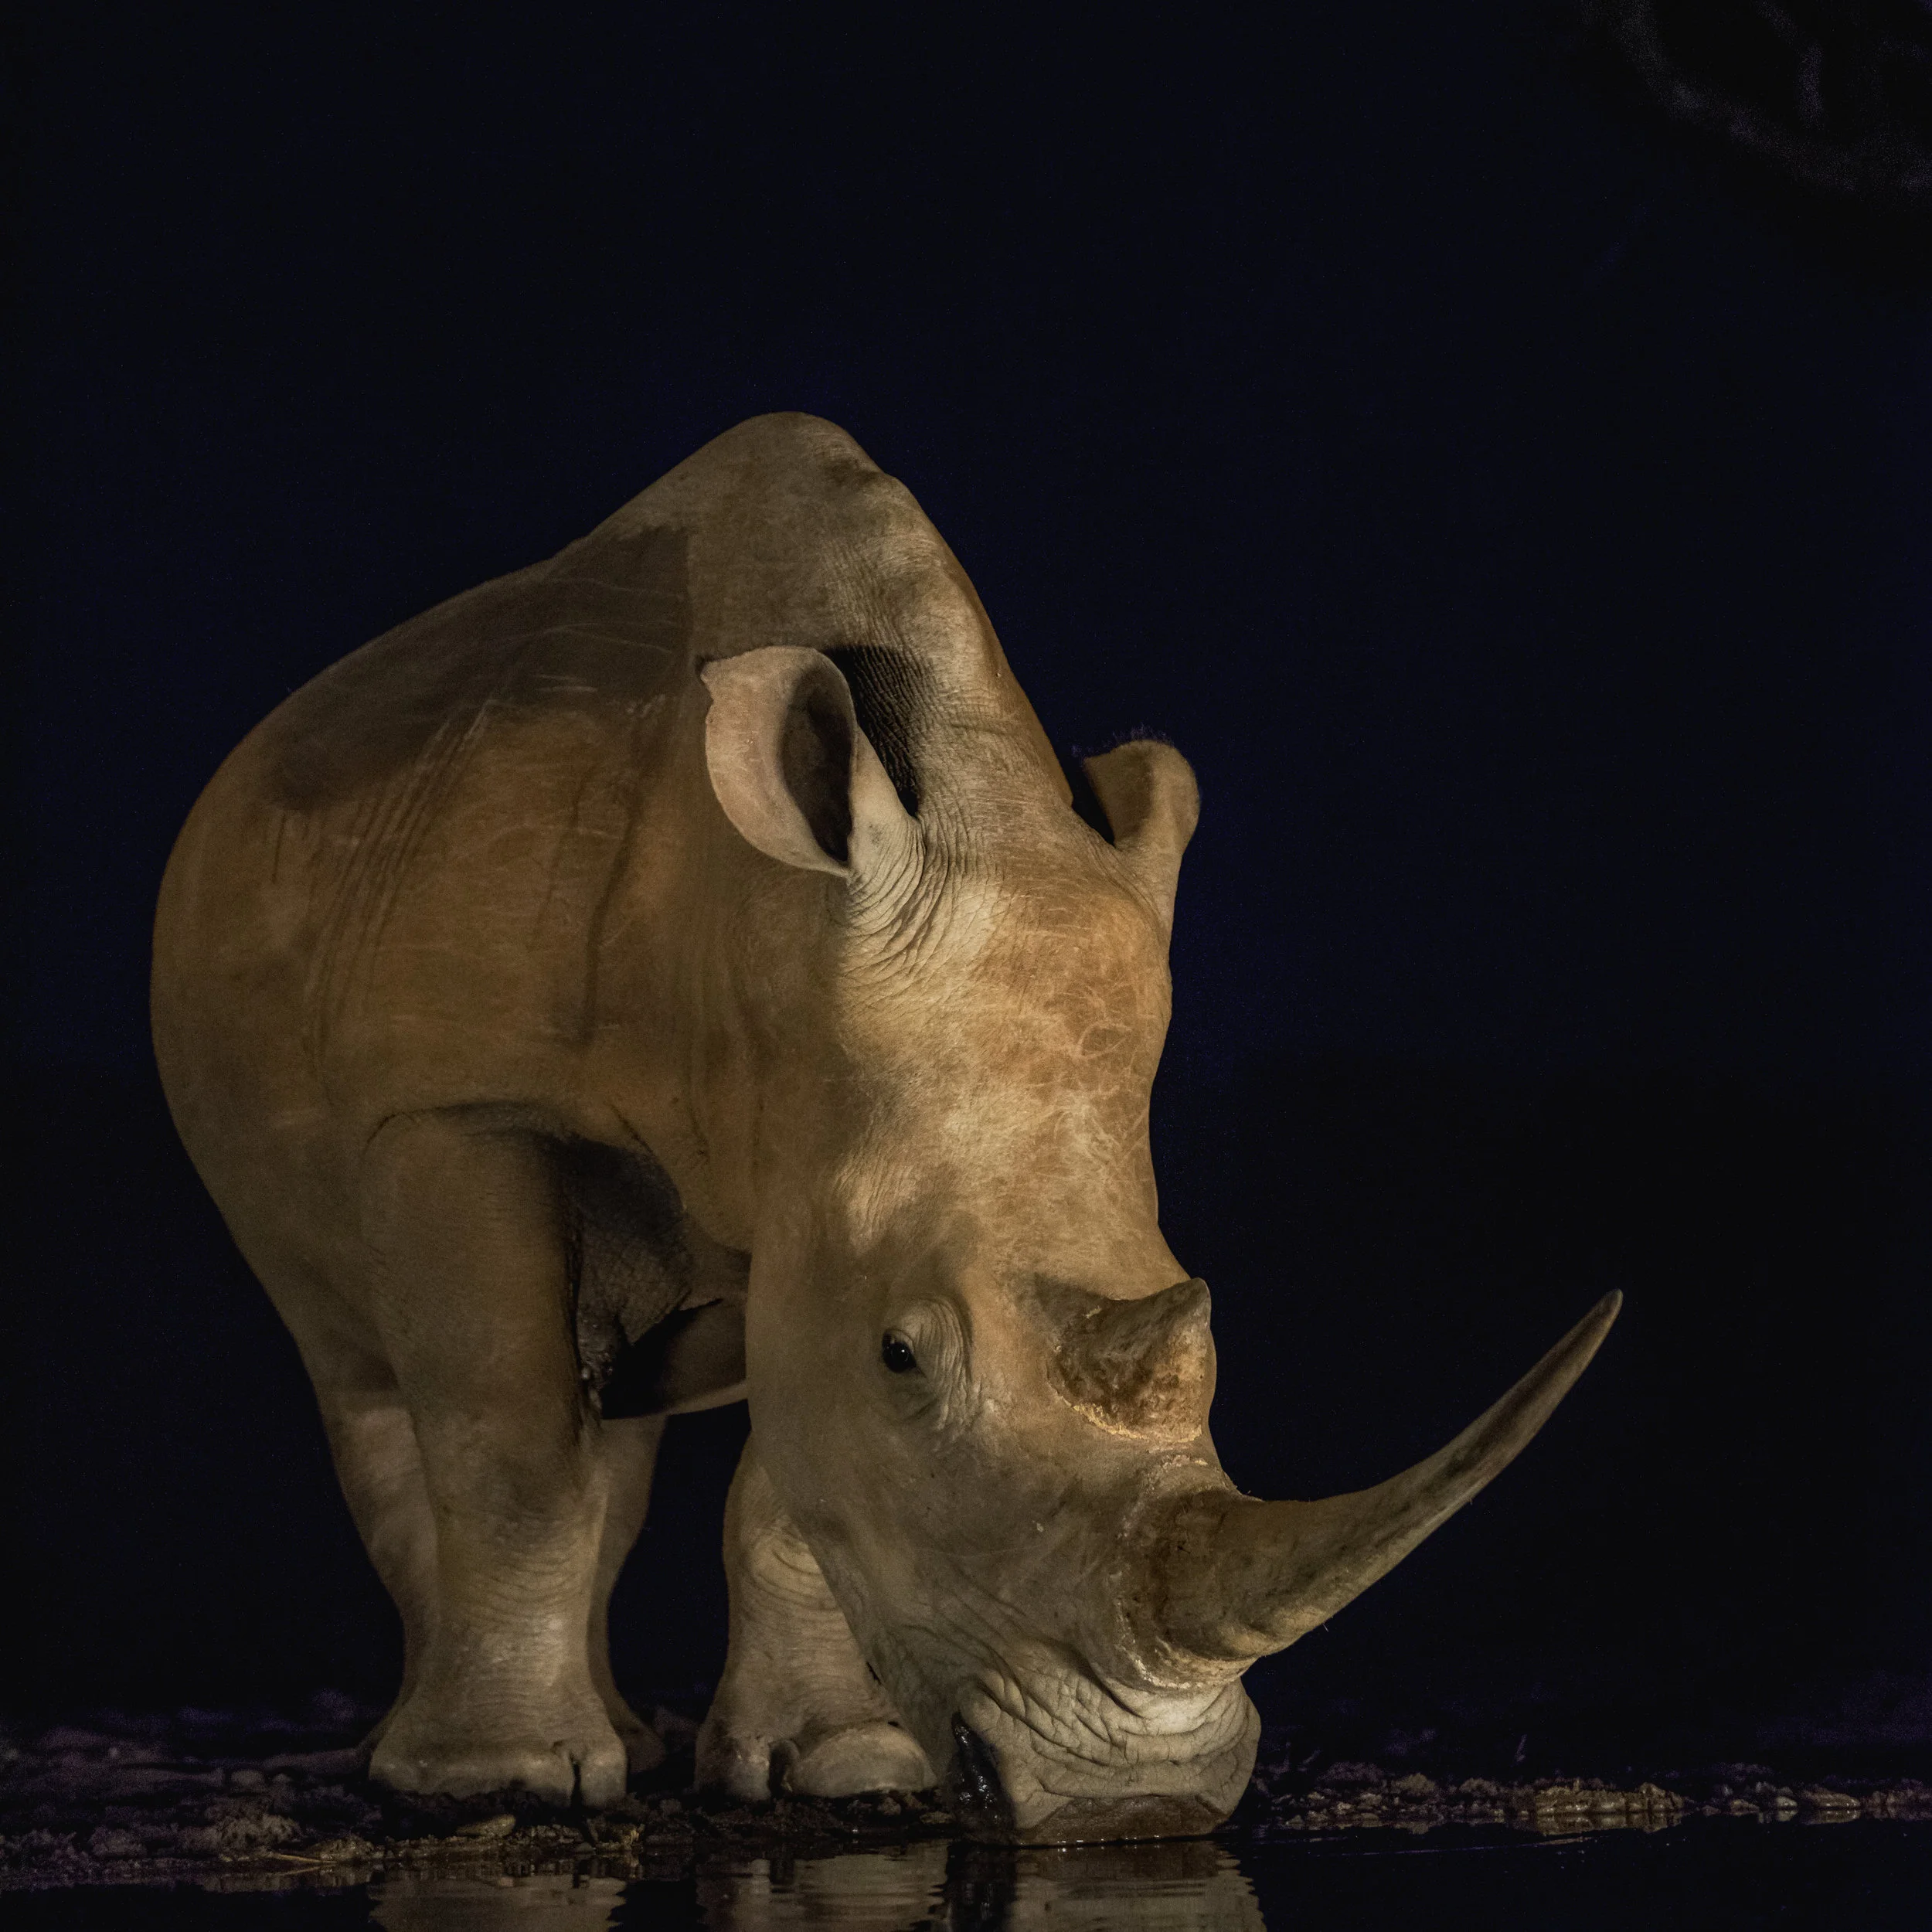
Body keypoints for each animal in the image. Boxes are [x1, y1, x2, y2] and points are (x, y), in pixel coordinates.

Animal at [152, 414, 1617, 1842]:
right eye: (905, 1355)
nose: (1138, 1800)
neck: (770, 929)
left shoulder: (812, 1151)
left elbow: (785, 1480)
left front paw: (844, 1770)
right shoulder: (460, 1105)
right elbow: (507, 1444)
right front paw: (495, 1785)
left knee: (609, 1420)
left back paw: (624, 1737)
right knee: (377, 1373)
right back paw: (470, 1758)